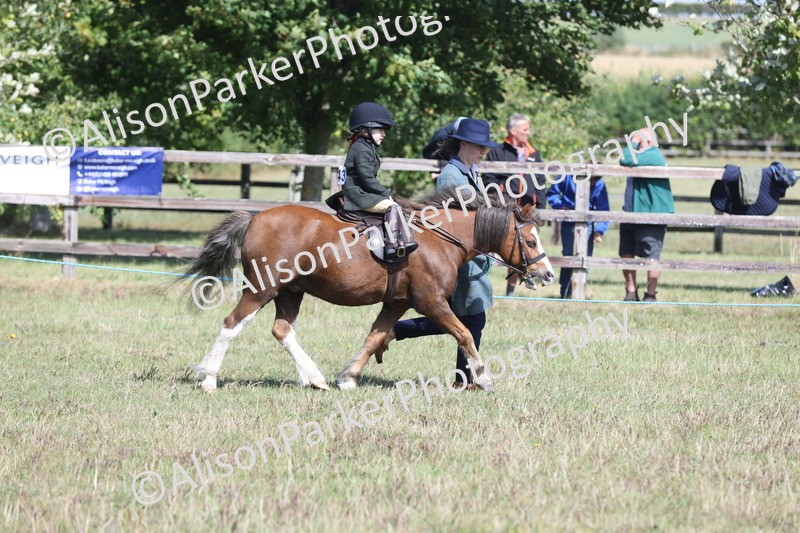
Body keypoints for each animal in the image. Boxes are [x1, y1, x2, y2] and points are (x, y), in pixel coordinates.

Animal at [184, 187, 554, 393]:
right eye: (531, 241)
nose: (547, 274)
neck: (440, 238)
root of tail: (255, 219)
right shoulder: (431, 302)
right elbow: (464, 333)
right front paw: (485, 379)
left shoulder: (398, 303)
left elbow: (375, 336)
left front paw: (348, 377)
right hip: (262, 288)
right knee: (232, 324)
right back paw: (209, 379)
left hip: (291, 292)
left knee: (282, 330)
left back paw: (315, 378)